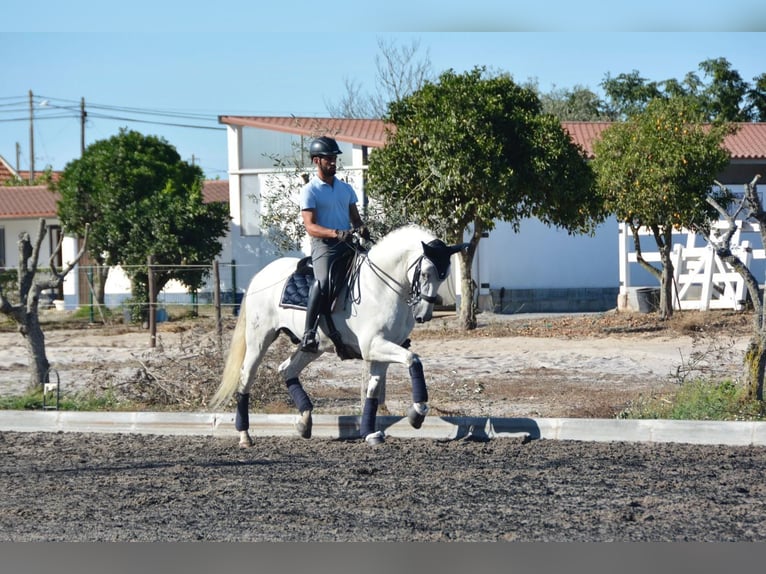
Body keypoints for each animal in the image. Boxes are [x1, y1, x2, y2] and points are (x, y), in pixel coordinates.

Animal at [210, 226, 468, 450]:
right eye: (425, 273)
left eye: (443, 276)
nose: (423, 315)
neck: (382, 286)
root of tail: (261, 275)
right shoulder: (373, 345)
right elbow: (413, 359)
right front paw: (417, 414)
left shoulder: (381, 350)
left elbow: (373, 390)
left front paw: (370, 433)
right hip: (260, 339)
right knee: (246, 377)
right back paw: (245, 435)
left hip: (313, 347)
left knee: (287, 369)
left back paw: (304, 422)